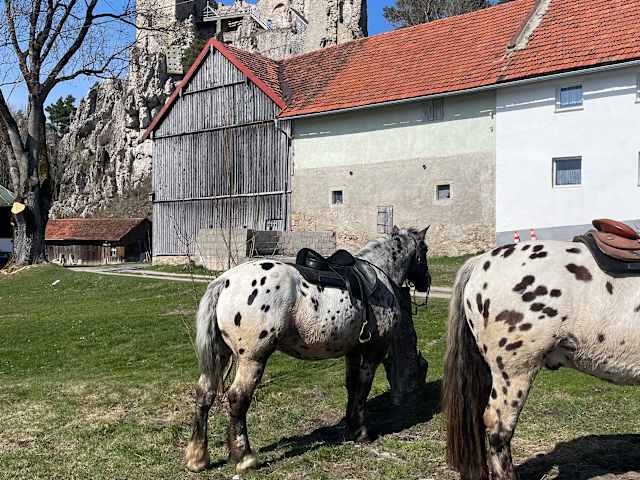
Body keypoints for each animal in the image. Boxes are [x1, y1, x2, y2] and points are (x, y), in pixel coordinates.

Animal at [185, 227, 431, 473]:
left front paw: (349, 429)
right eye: (424, 250)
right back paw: (244, 458)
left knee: (204, 394)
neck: (378, 278)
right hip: (252, 359)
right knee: (237, 398)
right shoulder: (373, 352)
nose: (426, 282)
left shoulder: (353, 352)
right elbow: (363, 388)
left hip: (220, 355)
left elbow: (352, 386)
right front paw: (361, 433)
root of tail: (225, 280)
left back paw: (197, 458)